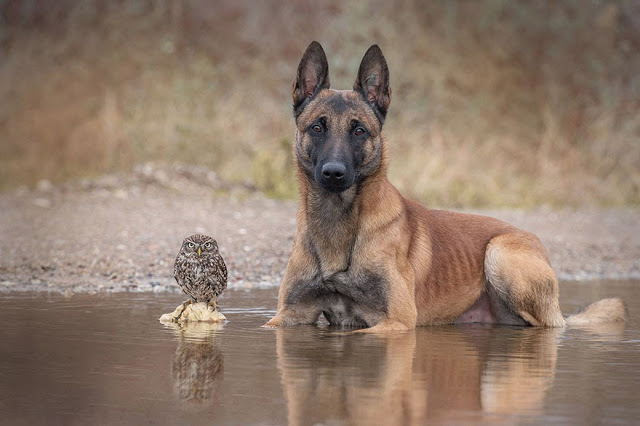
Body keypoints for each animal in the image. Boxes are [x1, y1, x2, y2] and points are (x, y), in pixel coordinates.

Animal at [264, 41, 624, 332]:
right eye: (317, 127)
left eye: (359, 131)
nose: (334, 173)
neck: (337, 224)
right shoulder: (287, 317)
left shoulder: (396, 323)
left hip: (500, 254)